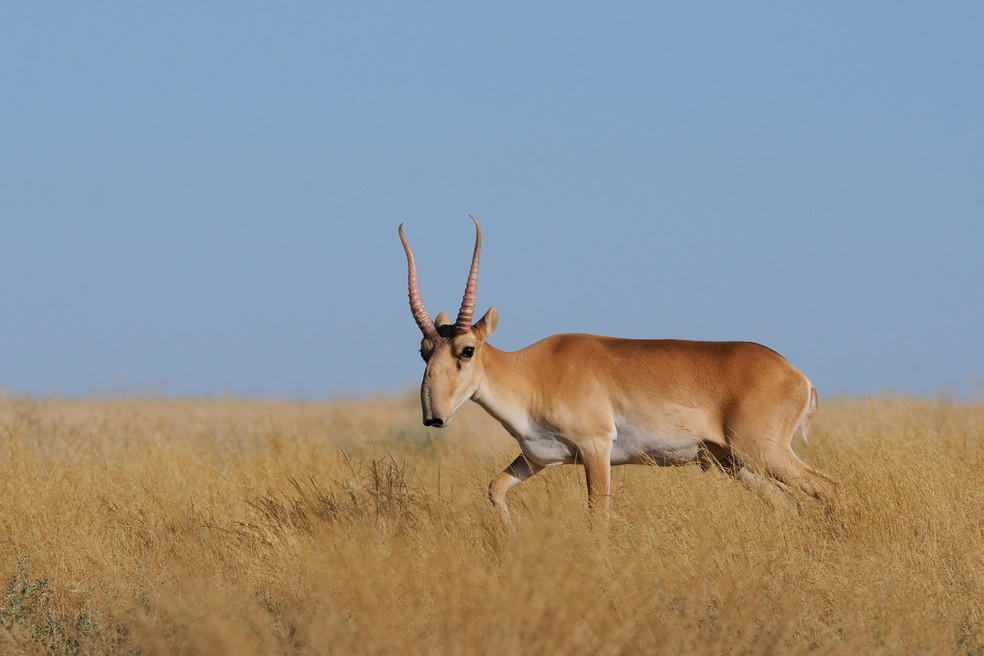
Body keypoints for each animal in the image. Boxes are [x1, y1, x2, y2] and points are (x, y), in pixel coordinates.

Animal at [400, 217, 834, 523]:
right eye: (424, 351)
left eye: (467, 349)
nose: (434, 416)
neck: (533, 372)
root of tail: (796, 375)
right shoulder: (537, 458)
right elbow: (495, 488)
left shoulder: (596, 449)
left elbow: (599, 516)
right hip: (736, 464)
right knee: (789, 505)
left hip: (762, 453)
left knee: (826, 486)